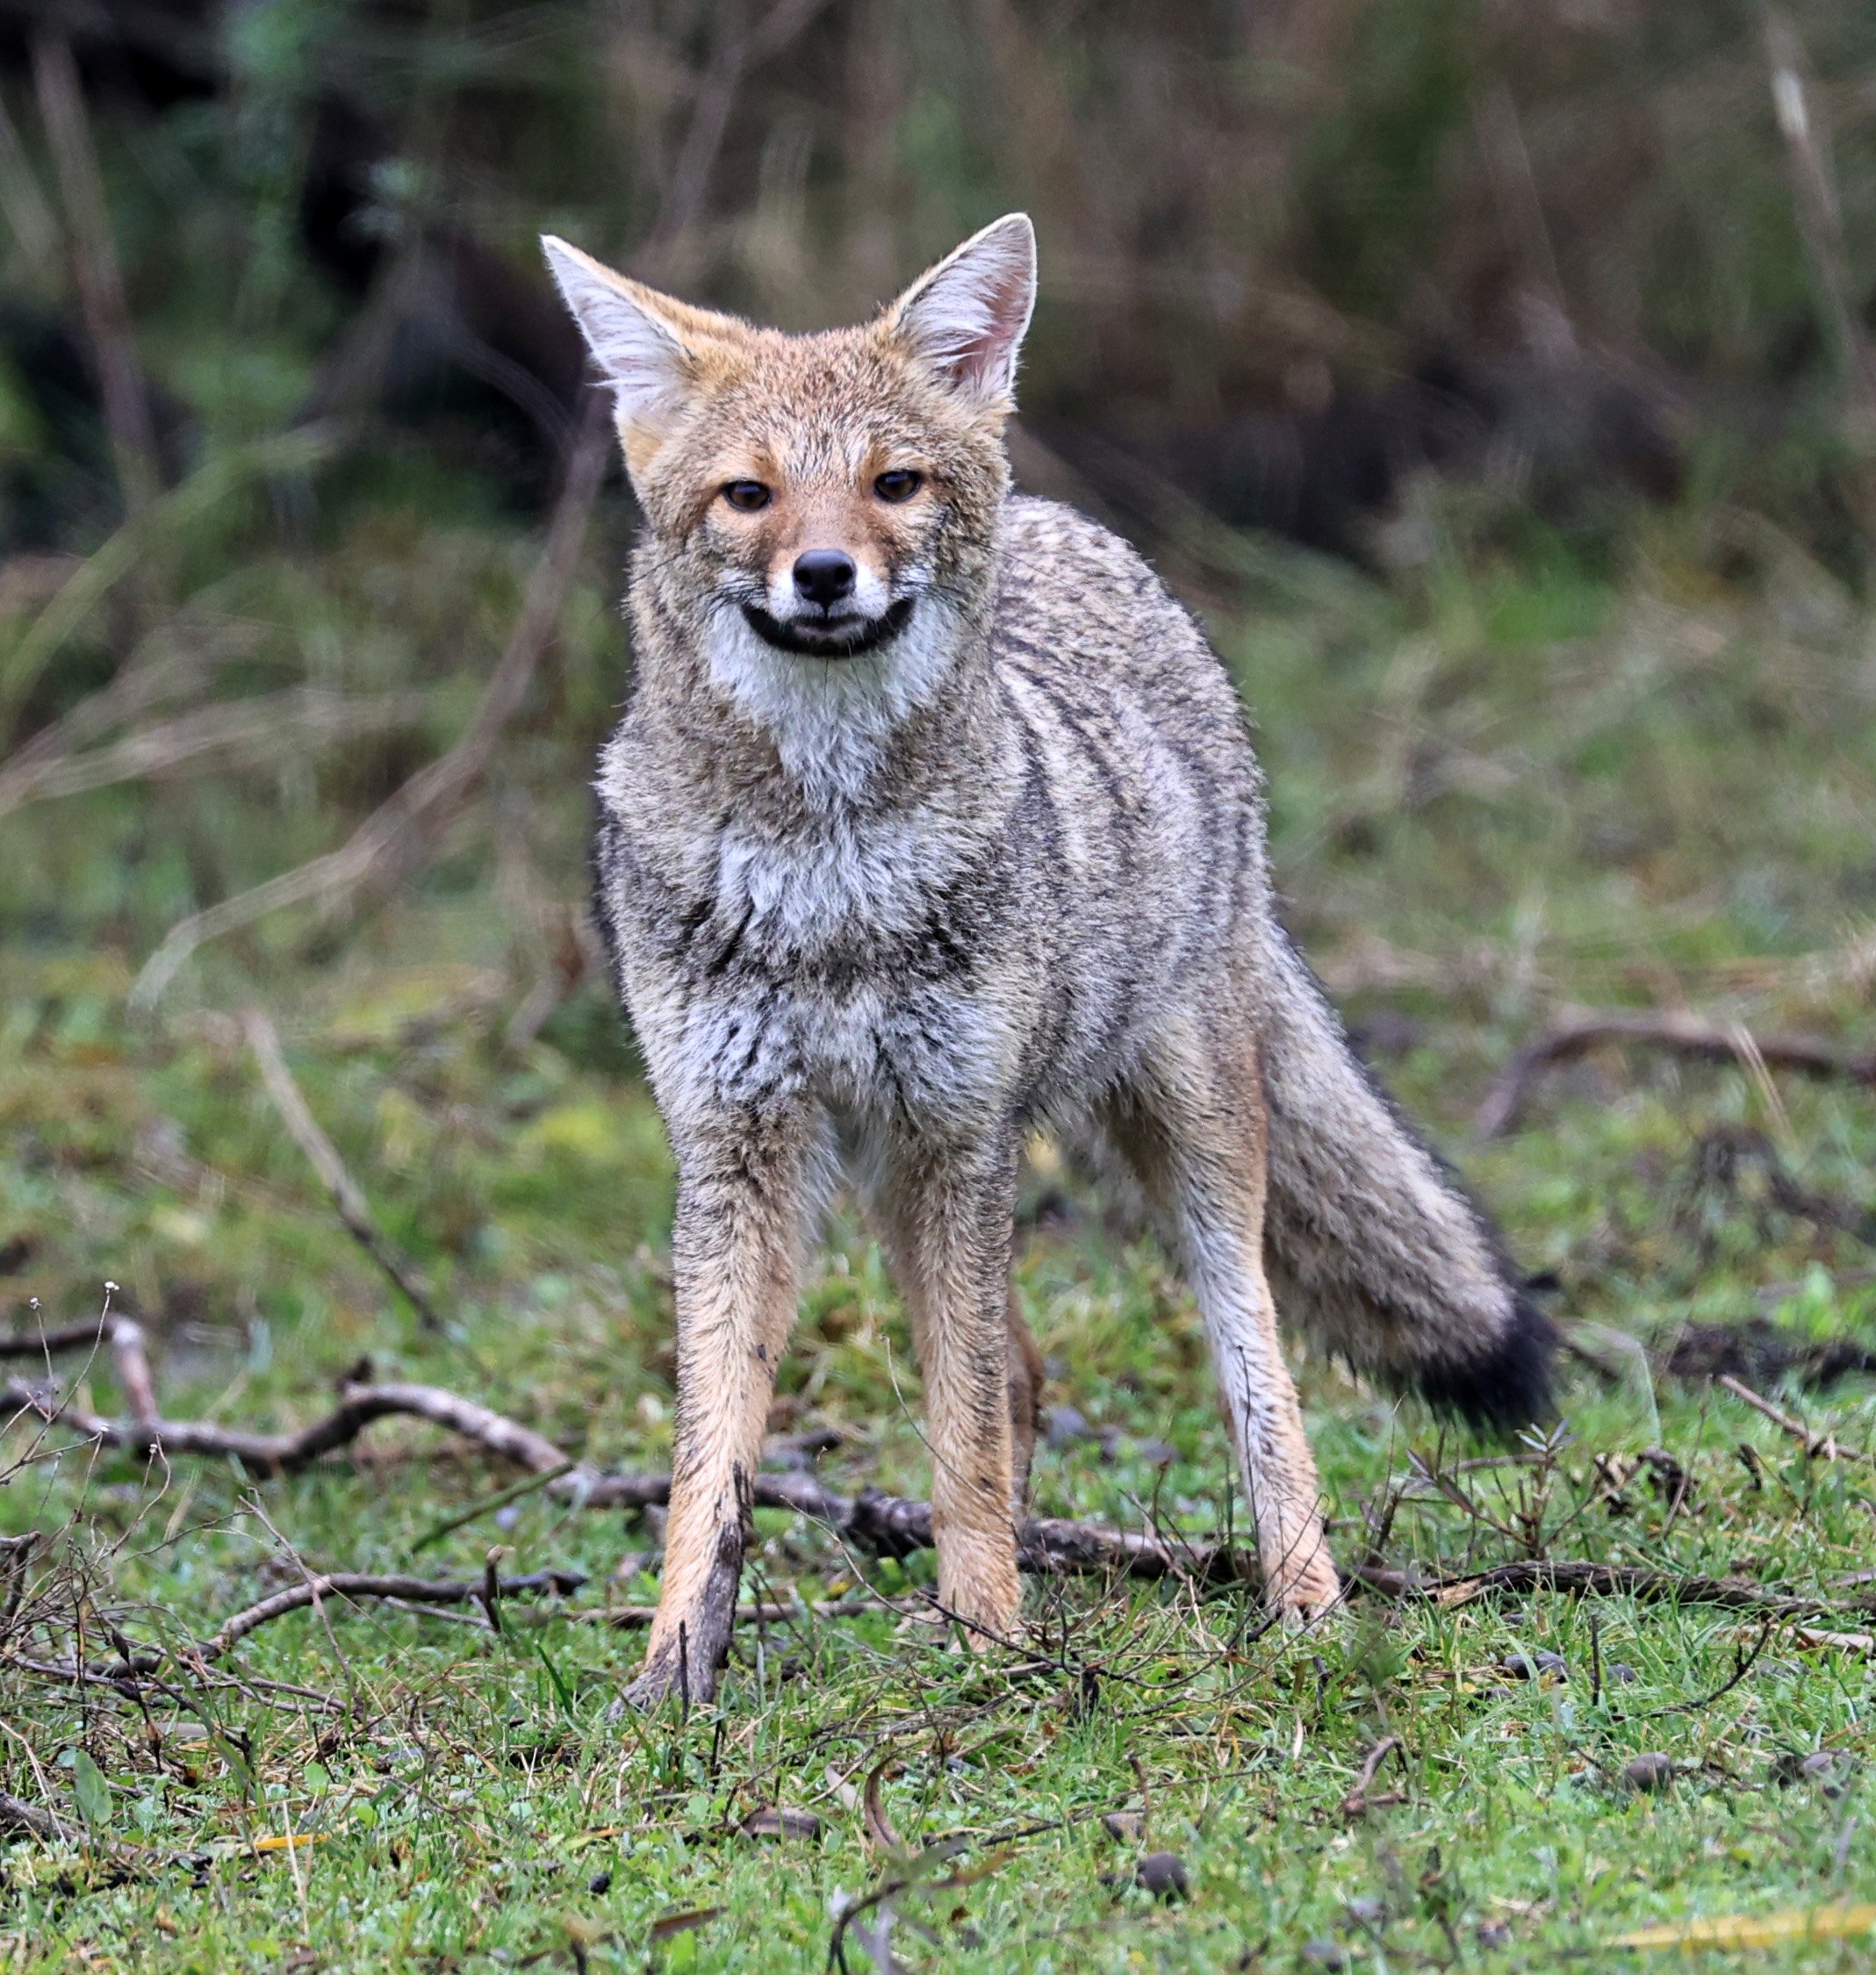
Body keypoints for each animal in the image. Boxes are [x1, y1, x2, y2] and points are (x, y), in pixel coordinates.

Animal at [540, 214, 1555, 1708]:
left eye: (892, 484)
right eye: (749, 496)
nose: (825, 574)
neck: (831, 874)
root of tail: (1079, 530)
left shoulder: (959, 1137)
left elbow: (961, 1437)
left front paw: (995, 1648)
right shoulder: (737, 1151)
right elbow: (708, 1458)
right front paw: (675, 1674)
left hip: (1175, 1150)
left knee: (1253, 1378)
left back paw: (1304, 1604)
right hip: (902, 1177)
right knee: (1019, 1370)